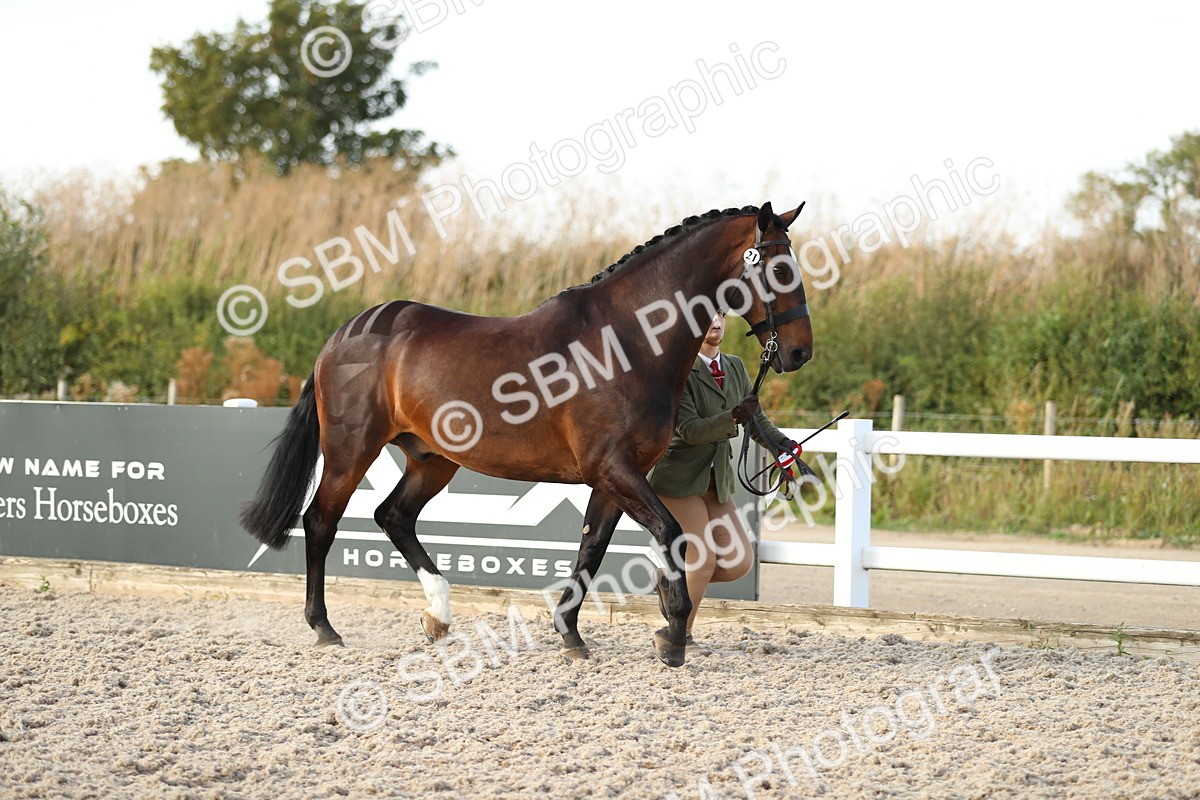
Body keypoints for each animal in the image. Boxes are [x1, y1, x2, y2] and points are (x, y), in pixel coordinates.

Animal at [240, 201, 814, 667]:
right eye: (777, 268)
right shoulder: (615, 469)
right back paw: (324, 628)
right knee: (321, 522)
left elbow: (591, 548)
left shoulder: (613, 478)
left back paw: (438, 615)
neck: (625, 342)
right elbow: (671, 535)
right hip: (350, 452)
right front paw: (671, 636)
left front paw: (571, 634)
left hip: (433, 459)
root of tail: (343, 335)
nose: (799, 352)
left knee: (392, 516)